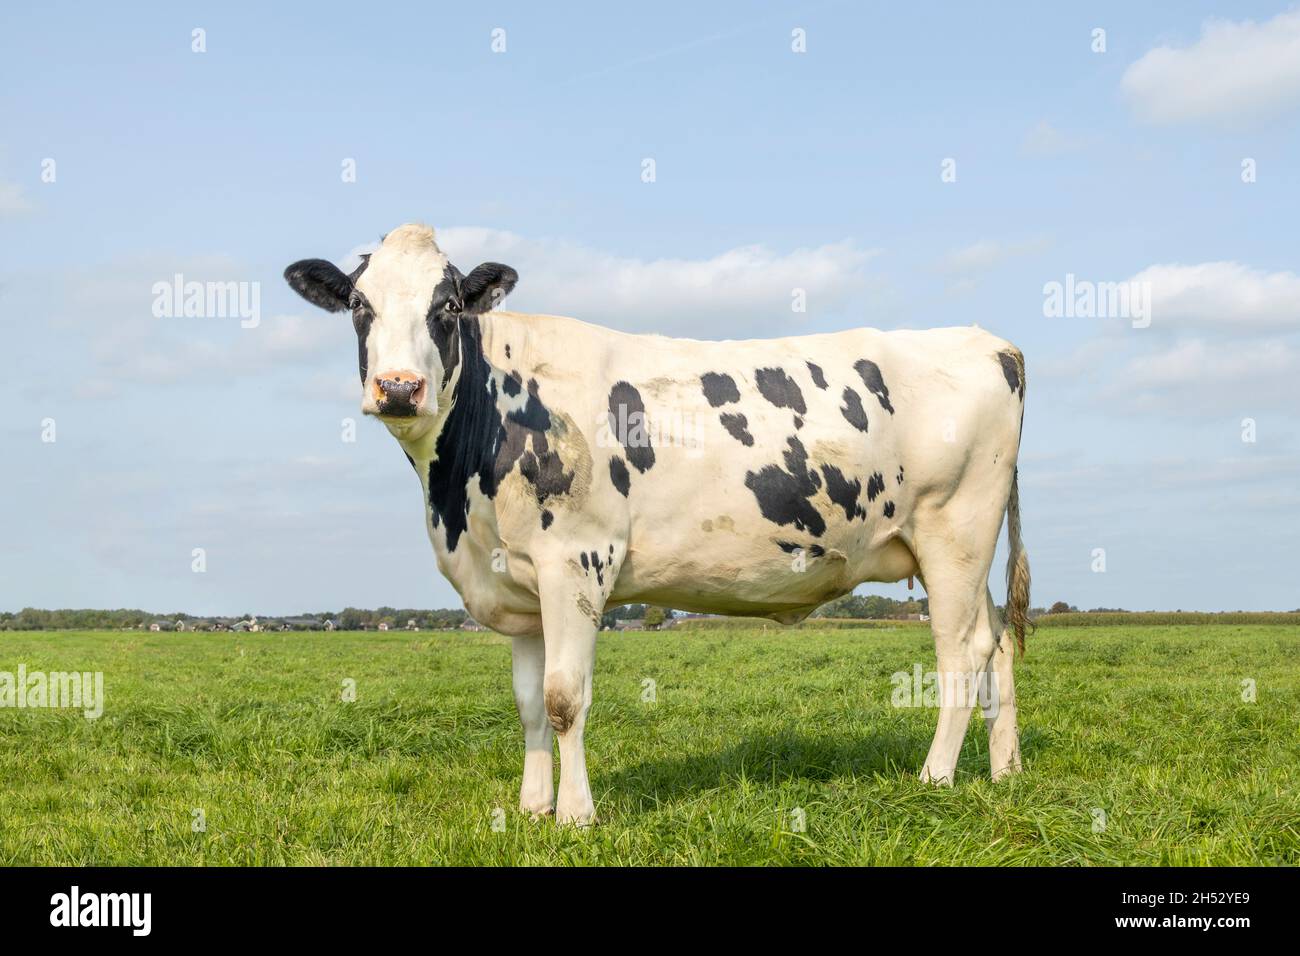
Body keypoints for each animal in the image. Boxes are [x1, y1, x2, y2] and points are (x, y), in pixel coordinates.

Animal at [285, 223, 1032, 825]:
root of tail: (991, 344)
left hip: (954, 533)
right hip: (964, 547)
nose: (398, 387)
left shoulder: (576, 561)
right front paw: (531, 808)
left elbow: (563, 698)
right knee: (995, 643)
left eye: (445, 307)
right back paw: (1004, 773)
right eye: (360, 305)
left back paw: (934, 779)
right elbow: (527, 703)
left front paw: (575, 815)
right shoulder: (514, 582)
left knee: (961, 654)